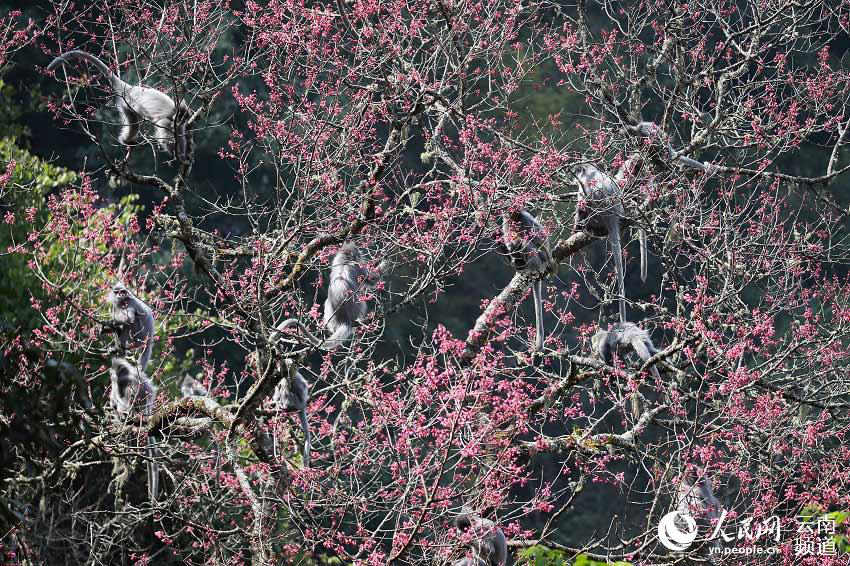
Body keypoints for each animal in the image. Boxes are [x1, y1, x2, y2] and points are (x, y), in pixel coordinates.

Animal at [47, 50, 192, 160]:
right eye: (181, 117)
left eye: (184, 119)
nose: (181, 121)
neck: (174, 111)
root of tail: (129, 89)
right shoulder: (166, 120)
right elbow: (164, 139)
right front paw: (177, 155)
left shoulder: (176, 124)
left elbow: (179, 136)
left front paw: (184, 156)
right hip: (127, 103)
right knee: (134, 124)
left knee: (133, 124)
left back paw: (125, 140)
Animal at [501, 209, 555, 352]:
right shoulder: (507, 223)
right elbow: (508, 238)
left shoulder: (525, 220)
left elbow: (537, 237)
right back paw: (517, 260)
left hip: (539, 259)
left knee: (528, 243)